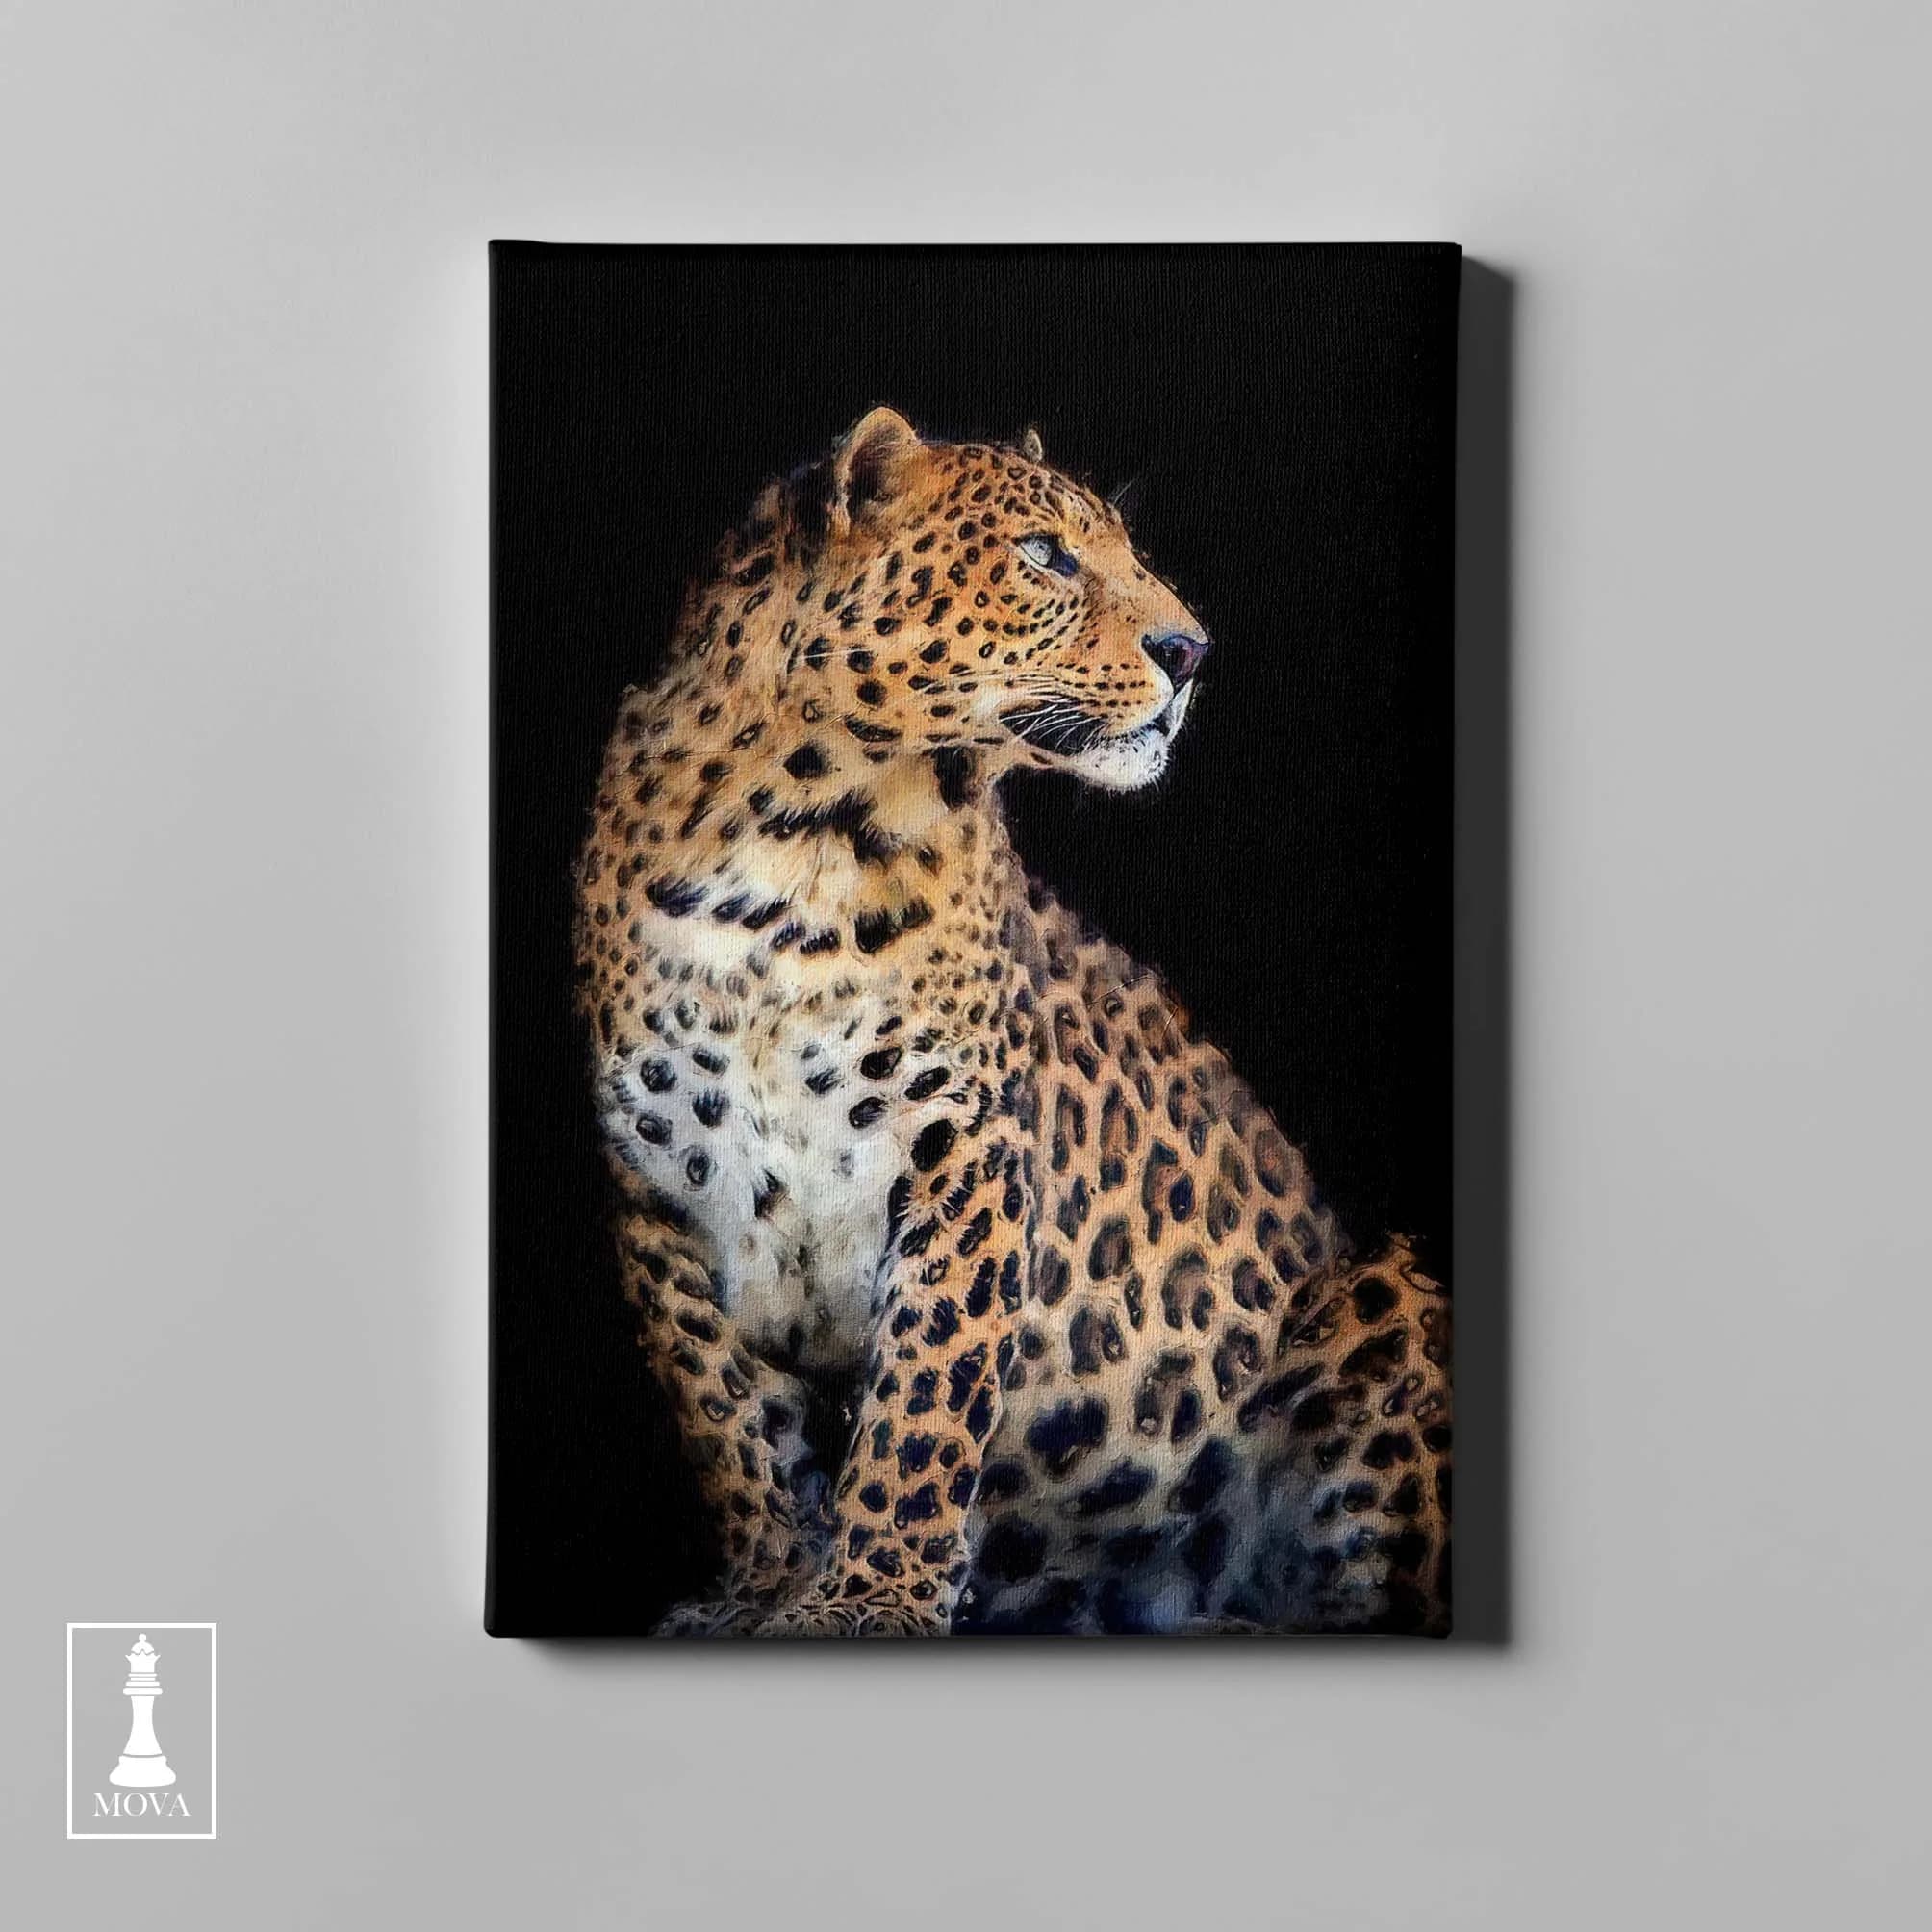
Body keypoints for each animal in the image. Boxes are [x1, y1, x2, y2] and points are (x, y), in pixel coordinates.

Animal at [573, 406, 1451, 1636]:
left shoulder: (965, 1147)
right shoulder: (654, 1187)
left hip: (1391, 1292)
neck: (794, 843)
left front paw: (871, 1596)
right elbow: (729, 1416)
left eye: (1124, 550)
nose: (1190, 651)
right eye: (1044, 555)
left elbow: (926, 1395)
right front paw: (763, 1585)